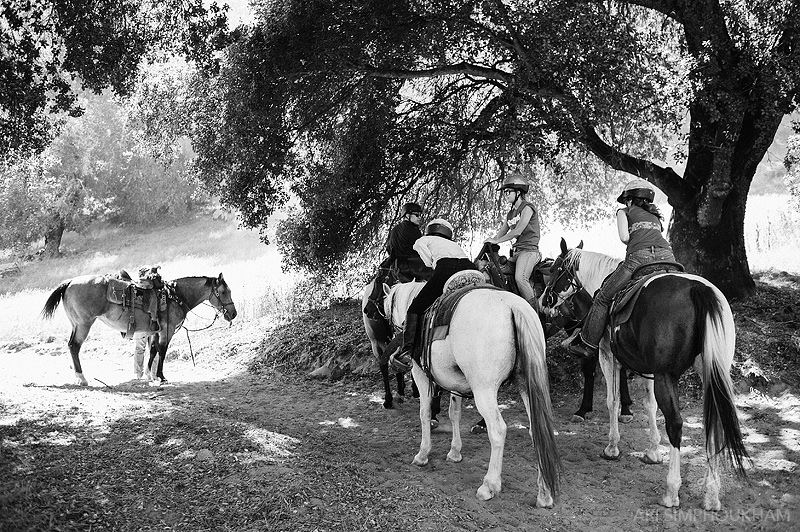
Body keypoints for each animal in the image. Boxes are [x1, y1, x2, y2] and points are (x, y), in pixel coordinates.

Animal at [41, 276, 234, 384]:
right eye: (224, 291)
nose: (233, 313)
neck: (174, 296)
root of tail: (70, 282)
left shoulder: (155, 332)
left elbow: (153, 350)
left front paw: (150, 375)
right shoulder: (167, 329)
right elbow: (162, 351)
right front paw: (161, 376)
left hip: (76, 324)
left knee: (70, 346)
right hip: (83, 324)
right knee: (74, 347)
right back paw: (81, 378)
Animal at [384, 280, 560, 504]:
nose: (392, 335)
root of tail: (513, 307)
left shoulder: (420, 374)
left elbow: (424, 413)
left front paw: (422, 454)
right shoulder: (456, 382)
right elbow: (454, 413)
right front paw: (454, 452)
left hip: (484, 390)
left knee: (498, 430)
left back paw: (489, 485)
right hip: (525, 385)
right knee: (537, 431)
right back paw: (544, 494)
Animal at [540, 239, 748, 510]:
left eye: (555, 269)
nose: (544, 300)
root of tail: (699, 290)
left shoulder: (609, 356)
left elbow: (613, 401)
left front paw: (612, 447)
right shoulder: (647, 368)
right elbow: (650, 405)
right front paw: (653, 451)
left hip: (666, 375)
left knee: (676, 423)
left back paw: (672, 491)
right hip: (711, 373)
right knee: (714, 423)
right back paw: (712, 494)